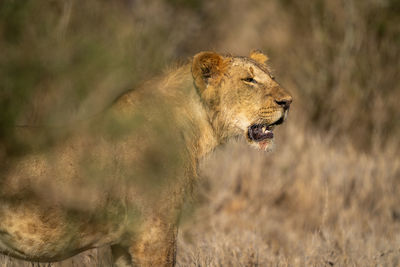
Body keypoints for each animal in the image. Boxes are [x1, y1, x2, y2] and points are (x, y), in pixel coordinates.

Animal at [1, 51, 292, 266]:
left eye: (272, 77)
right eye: (249, 80)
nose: (288, 101)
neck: (197, 129)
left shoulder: (122, 243)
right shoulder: (153, 234)